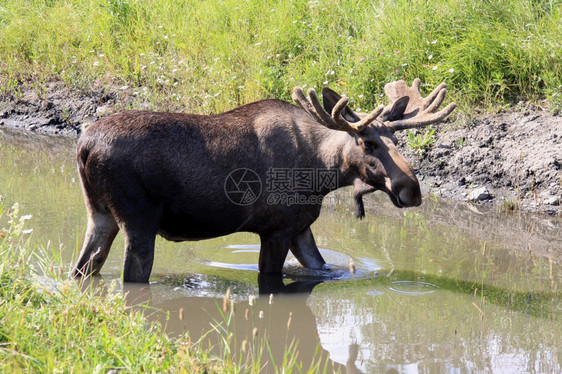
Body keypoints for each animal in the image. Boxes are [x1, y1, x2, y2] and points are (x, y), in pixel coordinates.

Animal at [71, 79, 456, 284]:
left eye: (397, 140)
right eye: (368, 143)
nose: (412, 190)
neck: (322, 173)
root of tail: (84, 145)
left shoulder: (300, 227)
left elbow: (321, 266)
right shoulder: (276, 229)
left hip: (99, 213)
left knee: (83, 268)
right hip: (138, 220)